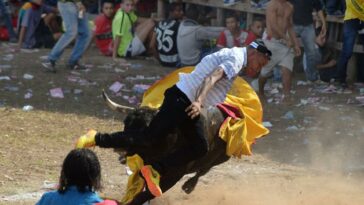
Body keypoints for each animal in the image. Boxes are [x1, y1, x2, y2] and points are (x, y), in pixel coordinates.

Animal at [102, 91, 230, 205]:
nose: (119, 146)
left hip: (223, 157)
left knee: (205, 168)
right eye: (126, 123)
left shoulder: (174, 175)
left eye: (146, 127)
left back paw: (189, 186)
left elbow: (146, 194)